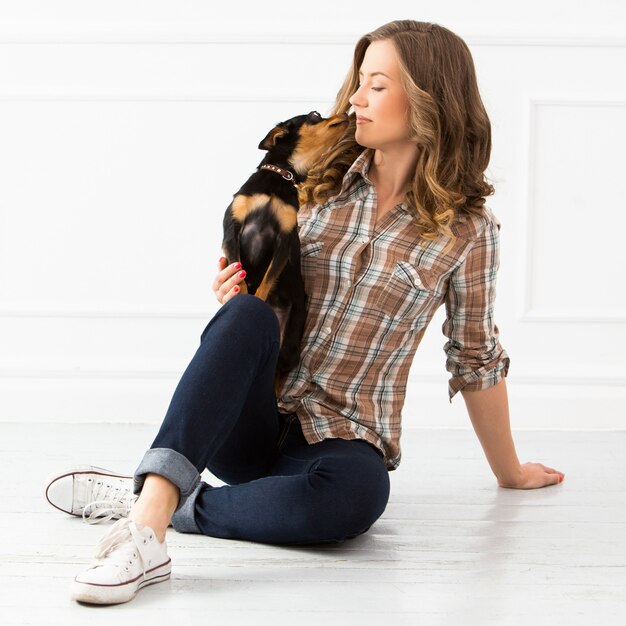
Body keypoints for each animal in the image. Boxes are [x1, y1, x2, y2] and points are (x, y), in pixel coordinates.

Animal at [221, 107, 348, 390]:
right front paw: (242, 297)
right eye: (315, 115)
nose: (349, 113)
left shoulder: (284, 242)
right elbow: (240, 277)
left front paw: (256, 302)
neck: (280, 177)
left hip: (290, 347)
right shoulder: (232, 232)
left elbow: (266, 282)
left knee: (278, 377)